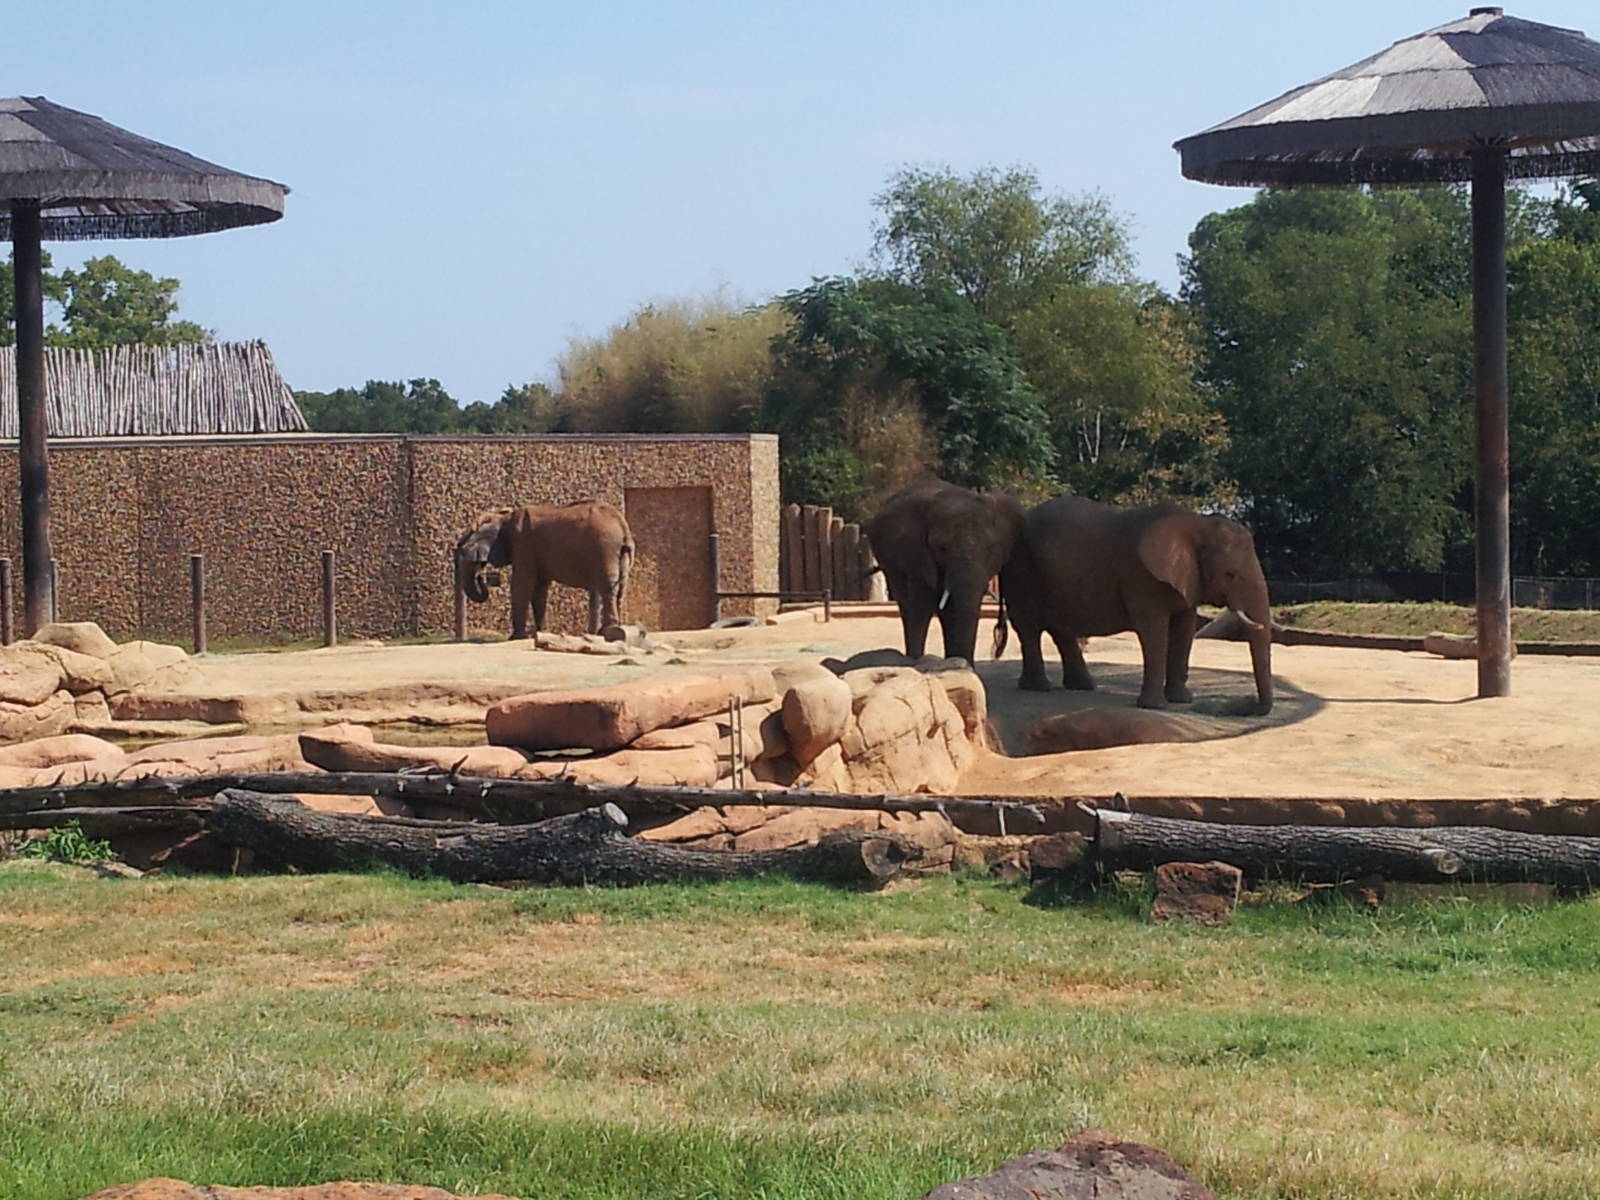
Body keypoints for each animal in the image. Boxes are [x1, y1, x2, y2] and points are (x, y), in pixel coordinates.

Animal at [454, 500, 635, 639]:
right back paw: (613, 630)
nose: (481, 576)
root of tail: (623, 525)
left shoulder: (523, 543)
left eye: (464, 549)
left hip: (605, 547)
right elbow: (539, 589)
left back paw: (608, 632)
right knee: (620, 587)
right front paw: (540, 633)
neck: (503, 516)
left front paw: (516, 637)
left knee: (608, 586)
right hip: (619, 551)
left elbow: (521, 585)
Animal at [861, 479, 1026, 665]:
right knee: (907, 605)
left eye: (991, 549)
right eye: (942, 548)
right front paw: (916, 662)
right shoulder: (917, 556)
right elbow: (921, 607)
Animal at [1001, 497, 1273, 714]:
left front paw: (1182, 700)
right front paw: (1155, 706)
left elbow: (1184, 630)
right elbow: (1154, 631)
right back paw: (1039, 688)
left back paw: (1082, 686)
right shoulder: (1142, 577)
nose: (1250, 705)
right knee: (1030, 627)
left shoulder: (1189, 581)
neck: (1197, 524)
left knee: (1060, 630)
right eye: (1229, 575)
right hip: (1023, 571)